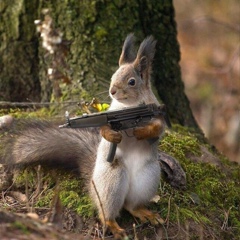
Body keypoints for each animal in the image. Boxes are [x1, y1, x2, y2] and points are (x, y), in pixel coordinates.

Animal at [0, 34, 186, 240]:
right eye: (112, 76)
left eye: (132, 81)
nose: (112, 91)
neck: (130, 106)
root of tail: (93, 182)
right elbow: (105, 130)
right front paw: (114, 134)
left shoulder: (156, 116)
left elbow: (158, 129)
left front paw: (140, 131)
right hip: (112, 179)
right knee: (107, 211)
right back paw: (114, 226)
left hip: (147, 178)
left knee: (131, 205)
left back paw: (144, 213)